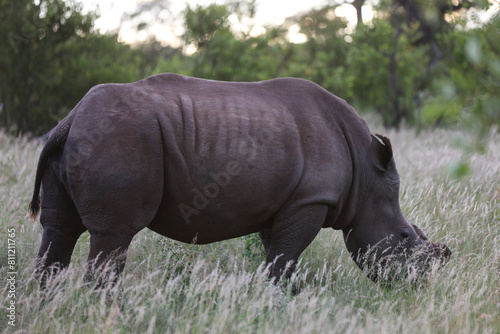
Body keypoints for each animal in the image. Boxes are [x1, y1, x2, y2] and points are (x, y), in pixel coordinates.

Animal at [29, 73, 452, 288]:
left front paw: (279, 298)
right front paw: (276, 298)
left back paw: (47, 302)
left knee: (59, 228)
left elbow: (276, 253)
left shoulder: (287, 200)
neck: (366, 176)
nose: (417, 286)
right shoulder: (311, 199)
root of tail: (70, 119)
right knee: (114, 234)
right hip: (120, 137)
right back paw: (105, 308)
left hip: (89, 136)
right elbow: (285, 257)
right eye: (404, 237)